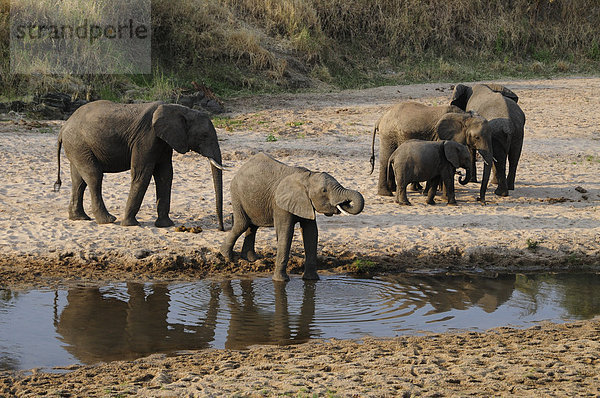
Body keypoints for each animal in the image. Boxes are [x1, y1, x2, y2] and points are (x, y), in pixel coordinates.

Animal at [52, 99, 223, 229]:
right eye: (204, 135)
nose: (221, 229)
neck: (179, 109)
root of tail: (63, 127)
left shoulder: (164, 142)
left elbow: (165, 175)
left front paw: (165, 225)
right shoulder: (146, 138)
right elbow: (142, 174)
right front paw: (130, 224)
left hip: (77, 147)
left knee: (79, 180)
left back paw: (79, 218)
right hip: (79, 144)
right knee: (94, 176)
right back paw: (108, 220)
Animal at [219, 151, 364, 282]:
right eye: (324, 190)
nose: (345, 203)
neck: (307, 177)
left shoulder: (306, 202)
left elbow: (311, 233)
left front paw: (311, 280)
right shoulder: (280, 205)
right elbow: (286, 233)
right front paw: (281, 281)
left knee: (252, 226)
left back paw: (251, 259)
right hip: (237, 194)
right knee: (242, 224)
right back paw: (226, 256)